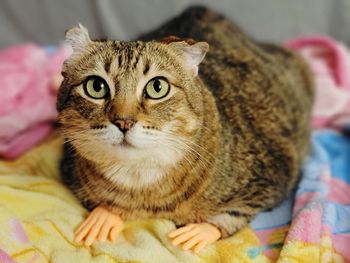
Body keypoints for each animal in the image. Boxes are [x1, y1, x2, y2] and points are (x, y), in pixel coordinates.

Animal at [57, 6, 314, 254]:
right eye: (96, 86)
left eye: (157, 87)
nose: (124, 122)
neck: (140, 186)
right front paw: (104, 215)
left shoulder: (271, 180)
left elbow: (235, 213)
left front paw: (200, 230)